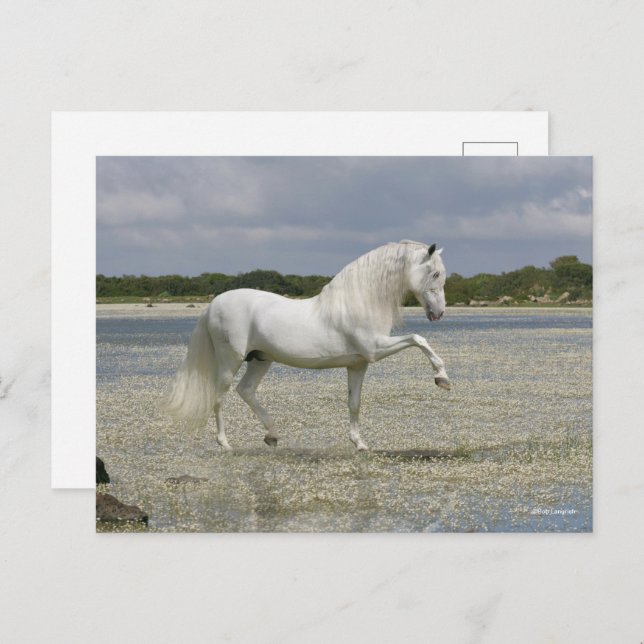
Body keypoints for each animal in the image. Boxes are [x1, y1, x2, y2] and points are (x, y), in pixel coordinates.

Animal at [164, 240, 451, 451]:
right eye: (435, 273)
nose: (438, 313)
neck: (358, 302)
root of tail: (213, 305)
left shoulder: (358, 364)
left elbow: (354, 403)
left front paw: (359, 444)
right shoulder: (375, 349)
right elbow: (418, 339)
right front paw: (442, 378)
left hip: (261, 359)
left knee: (246, 390)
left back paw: (272, 435)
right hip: (229, 361)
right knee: (220, 397)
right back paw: (225, 444)